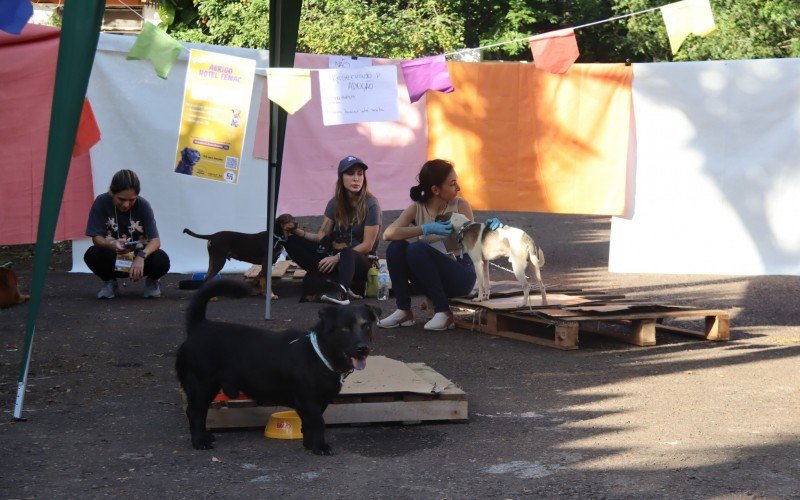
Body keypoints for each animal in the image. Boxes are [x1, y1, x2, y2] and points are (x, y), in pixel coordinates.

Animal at [176, 280, 382, 456]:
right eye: (345, 329)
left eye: (366, 325)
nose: (362, 348)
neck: (319, 353)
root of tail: (198, 326)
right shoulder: (308, 400)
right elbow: (318, 423)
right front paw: (320, 446)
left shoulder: (318, 402)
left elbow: (309, 424)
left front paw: (310, 444)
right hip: (202, 384)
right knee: (195, 412)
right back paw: (199, 441)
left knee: (200, 412)